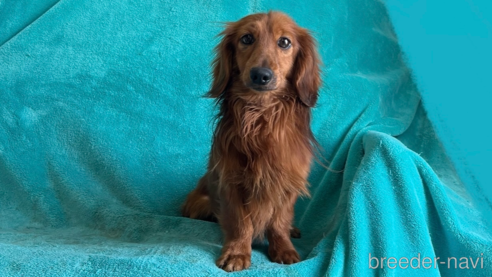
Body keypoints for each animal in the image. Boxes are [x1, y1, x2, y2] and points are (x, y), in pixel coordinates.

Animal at [183, 11, 320, 272]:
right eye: (246, 38)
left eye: (284, 42)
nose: (261, 75)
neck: (261, 118)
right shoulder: (232, 182)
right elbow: (240, 222)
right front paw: (237, 252)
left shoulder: (287, 181)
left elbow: (278, 222)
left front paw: (283, 248)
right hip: (198, 205)